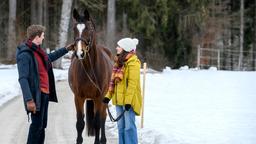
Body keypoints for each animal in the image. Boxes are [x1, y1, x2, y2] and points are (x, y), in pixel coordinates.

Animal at [68, 8, 112, 144]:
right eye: (74, 29)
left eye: (89, 29)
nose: (79, 53)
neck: (90, 69)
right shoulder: (78, 97)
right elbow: (80, 123)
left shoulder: (99, 97)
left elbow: (97, 122)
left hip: (104, 100)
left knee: (102, 118)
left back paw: (103, 140)